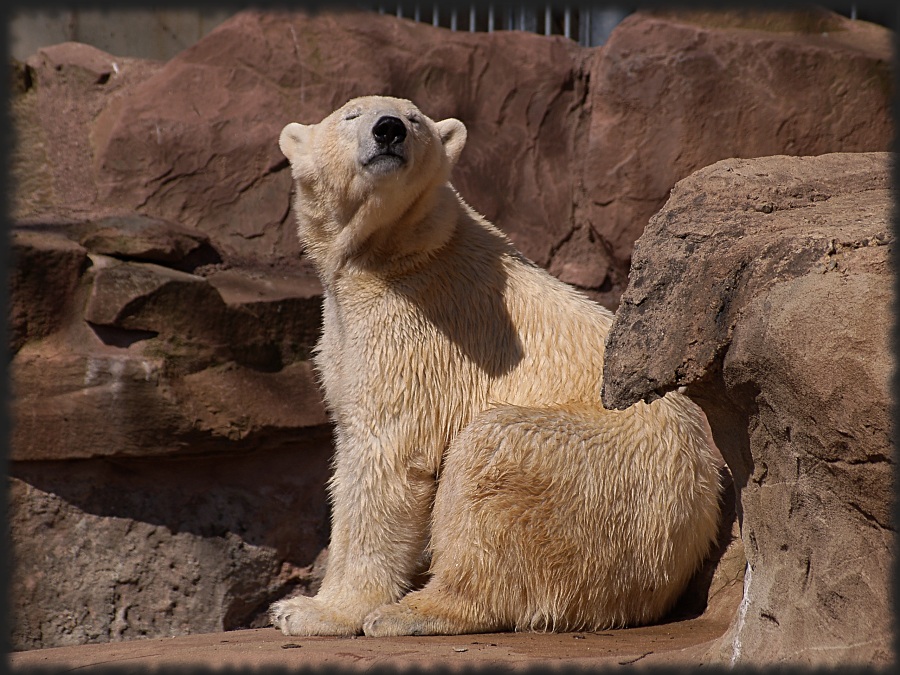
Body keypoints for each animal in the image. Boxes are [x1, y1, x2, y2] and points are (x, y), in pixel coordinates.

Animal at [268, 96, 724, 640]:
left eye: (414, 118)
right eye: (351, 116)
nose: (389, 129)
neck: (400, 247)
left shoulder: (419, 328)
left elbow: (387, 454)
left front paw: (312, 610)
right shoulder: (348, 326)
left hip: (609, 472)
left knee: (493, 453)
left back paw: (416, 609)